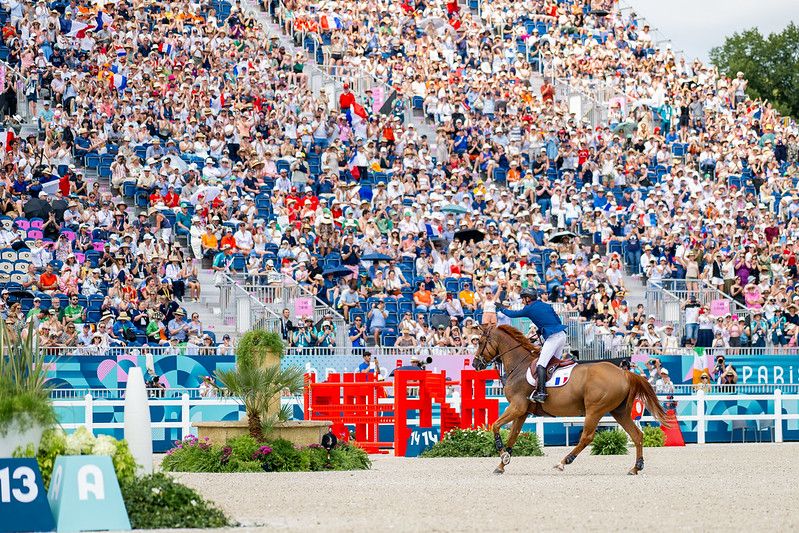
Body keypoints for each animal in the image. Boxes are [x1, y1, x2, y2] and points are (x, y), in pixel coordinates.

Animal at [472, 324, 667, 475]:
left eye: (480, 342)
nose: (475, 364)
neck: (519, 366)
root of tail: (624, 373)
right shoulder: (522, 412)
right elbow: (512, 436)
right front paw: (502, 464)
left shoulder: (516, 407)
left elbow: (495, 426)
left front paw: (501, 454)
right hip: (619, 412)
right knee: (637, 435)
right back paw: (636, 467)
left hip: (595, 410)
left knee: (587, 437)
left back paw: (563, 462)